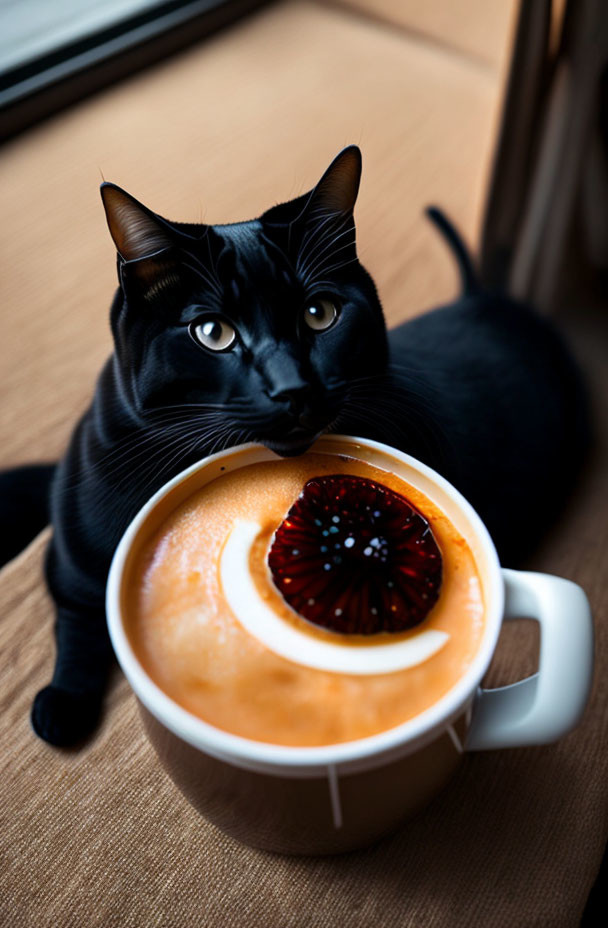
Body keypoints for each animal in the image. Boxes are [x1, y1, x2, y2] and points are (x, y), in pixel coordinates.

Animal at [1, 147, 588, 748]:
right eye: (212, 333)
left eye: (319, 313)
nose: (294, 387)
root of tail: (485, 298)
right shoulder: (70, 558)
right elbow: (79, 619)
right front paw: (62, 703)